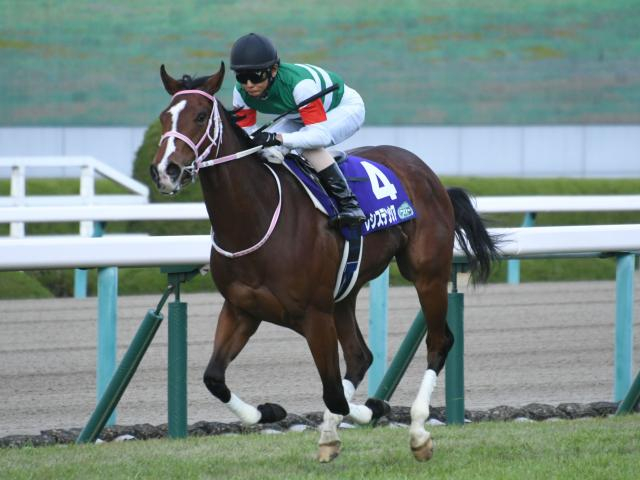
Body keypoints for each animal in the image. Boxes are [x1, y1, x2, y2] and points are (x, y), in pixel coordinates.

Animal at [150, 62, 499, 463]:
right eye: (163, 117)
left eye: (200, 116)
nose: (165, 171)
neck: (255, 216)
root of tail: (427, 173)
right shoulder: (242, 309)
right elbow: (214, 378)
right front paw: (272, 411)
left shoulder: (314, 315)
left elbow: (333, 393)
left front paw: (375, 409)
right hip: (345, 291)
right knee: (360, 356)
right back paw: (335, 432)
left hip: (427, 274)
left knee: (439, 342)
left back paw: (418, 432)